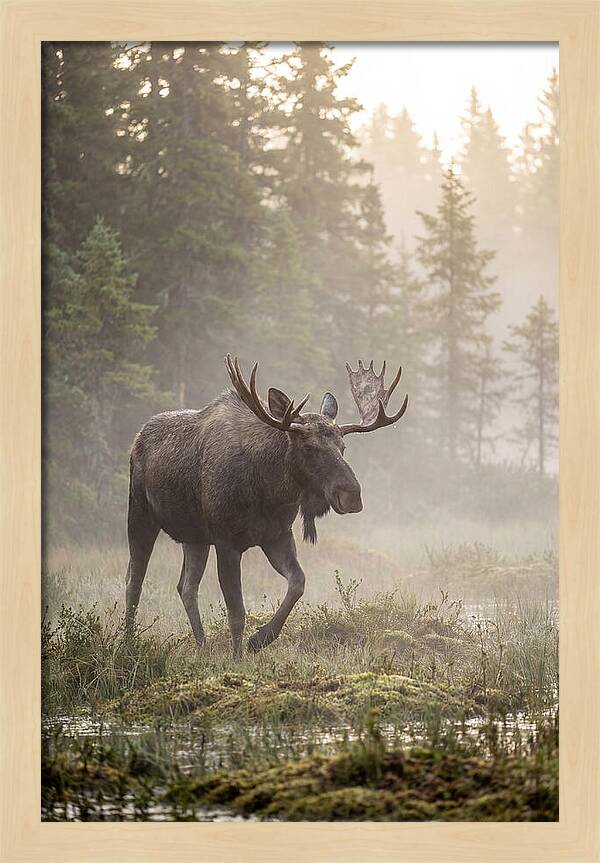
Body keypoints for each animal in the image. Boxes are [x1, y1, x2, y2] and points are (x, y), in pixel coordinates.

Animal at [125, 355, 408, 657]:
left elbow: (298, 583)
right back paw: (128, 642)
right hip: (139, 514)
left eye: (343, 447)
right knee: (134, 581)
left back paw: (201, 645)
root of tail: (137, 438)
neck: (268, 490)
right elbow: (237, 611)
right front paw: (237, 657)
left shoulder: (277, 535)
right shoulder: (226, 542)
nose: (352, 495)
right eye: (308, 448)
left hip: (195, 537)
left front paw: (260, 639)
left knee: (186, 587)